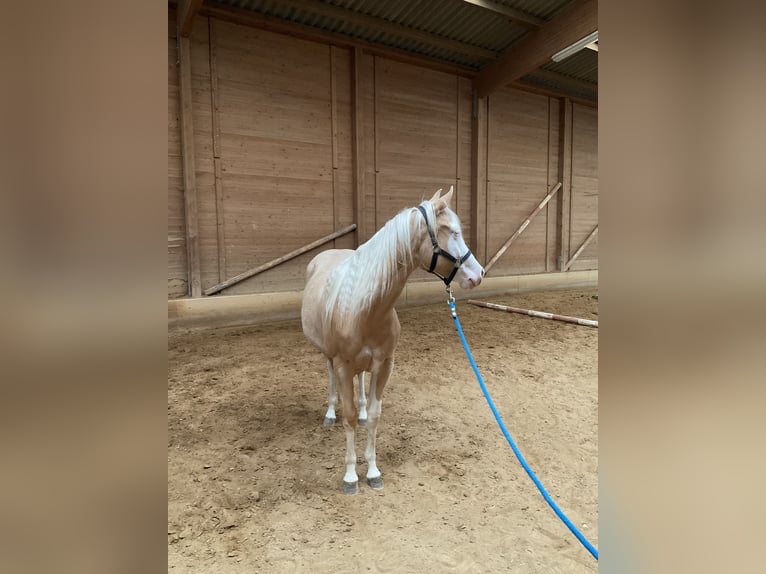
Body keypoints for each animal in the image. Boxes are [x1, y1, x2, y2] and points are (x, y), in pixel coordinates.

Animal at [301, 186, 484, 494]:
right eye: (454, 232)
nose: (478, 274)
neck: (364, 308)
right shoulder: (342, 365)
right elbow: (348, 418)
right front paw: (350, 477)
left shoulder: (385, 364)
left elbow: (374, 416)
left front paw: (373, 471)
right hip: (329, 357)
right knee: (331, 380)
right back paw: (329, 413)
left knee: (361, 382)